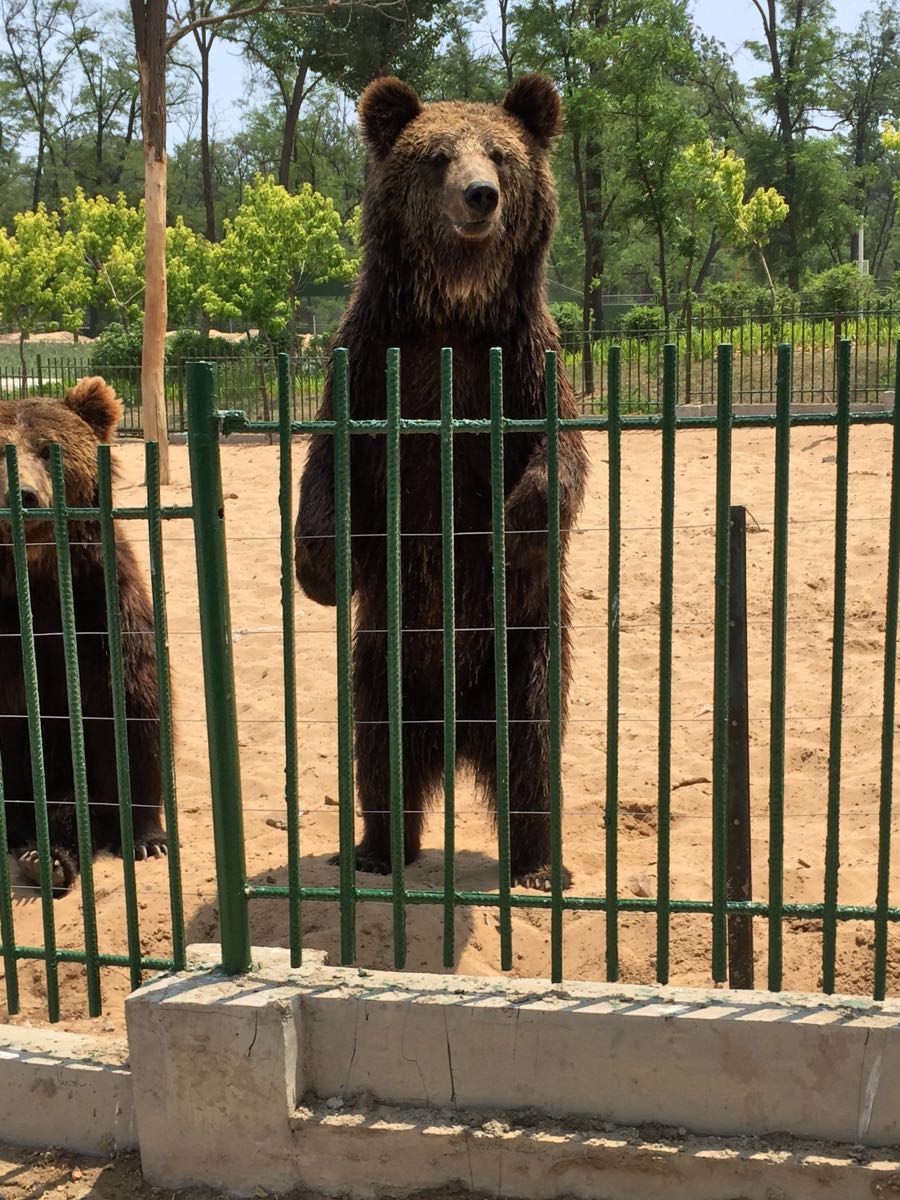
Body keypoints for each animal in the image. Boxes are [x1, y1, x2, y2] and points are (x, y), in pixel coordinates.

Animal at [0, 379, 169, 897]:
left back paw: (48, 857)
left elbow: (132, 706)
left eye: (47, 448)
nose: (24, 494)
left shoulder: (104, 605)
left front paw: (148, 837)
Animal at [297, 70, 592, 888]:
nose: (480, 195)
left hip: (524, 646)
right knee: (378, 752)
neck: (453, 314)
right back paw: (376, 849)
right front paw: (320, 566)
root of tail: (458, 737)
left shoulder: (524, 361)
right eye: (436, 158)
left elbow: (560, 456)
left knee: (534, 751)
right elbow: (328, 462)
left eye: (501, 153)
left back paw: (538, 863)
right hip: (385, 657)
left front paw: (516, 526)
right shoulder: (370, 359)